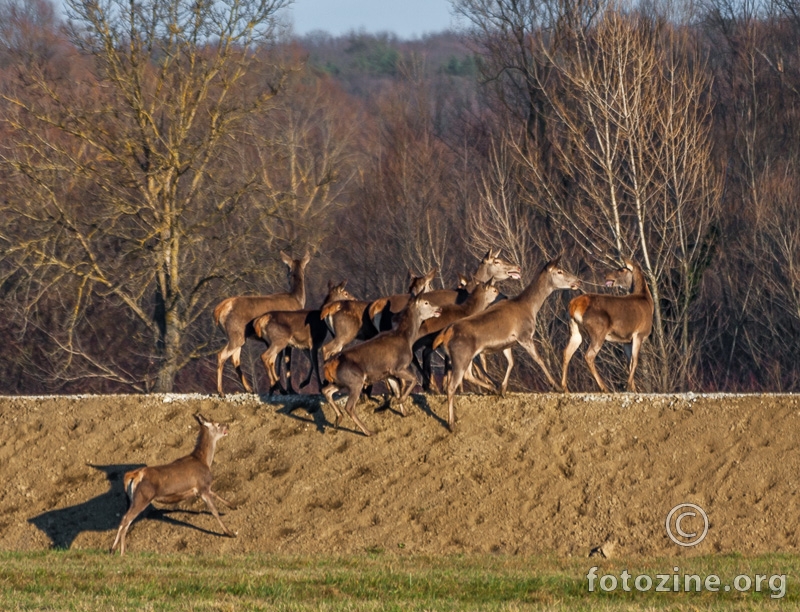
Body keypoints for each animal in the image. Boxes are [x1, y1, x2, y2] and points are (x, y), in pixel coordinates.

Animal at [109, 414, 234, 556]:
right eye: (217, 424)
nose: (228, 425)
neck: (204, 461)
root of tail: (134, 475)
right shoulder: (203, 486)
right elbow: (214, 511)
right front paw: (229, 532)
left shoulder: (202, 488)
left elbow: (216, 494)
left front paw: (233, 505)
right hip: (142, 497)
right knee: (125, 520)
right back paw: (121, 552)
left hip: (133, 500)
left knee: (125, 520)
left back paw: (113, 549)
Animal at [212, 252, 310, 400]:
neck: (297, 299)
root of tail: (219, 310)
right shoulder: (288, 338)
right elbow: (286, 362)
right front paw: (290, 390)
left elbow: (276, 361)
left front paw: (279, 388)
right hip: (236, 333)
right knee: (221, 355)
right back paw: (221, 391)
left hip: (237, 335)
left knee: (235, 359)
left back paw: (249, 389)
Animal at [320, 296, 444, 436]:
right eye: (426, 302)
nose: (440, 308)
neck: (406, 338)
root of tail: (328, 366)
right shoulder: (397, 367)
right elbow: (413, 379)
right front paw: (400, 400)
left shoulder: (388, 373)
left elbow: (397, 389)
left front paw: (404, 412)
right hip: (355, 381)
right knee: (349, 406)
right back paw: (368, 431)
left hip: (341, 382)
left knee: (327, 391)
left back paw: (338, 418)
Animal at [432, 258, 580, 430]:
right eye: (559, 271)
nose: (577, 281)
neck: (530, 308)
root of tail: (445, 334)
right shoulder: (524, 334)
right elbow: (539, 359)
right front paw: (556, 386)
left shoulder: (509, 343)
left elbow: (511, 362)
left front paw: (503, 388)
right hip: (461, 354)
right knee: (452, 386)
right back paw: (451, 424)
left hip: (463, 356)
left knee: (467, 375)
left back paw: (493, 388)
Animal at [560, 258, 652, 392]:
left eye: (622, 269)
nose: (606, 275)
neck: (647, 301)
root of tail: (573, 306)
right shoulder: (638, 334)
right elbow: (635, 361)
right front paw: (629, 387)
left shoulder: (626, 340)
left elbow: (629, 363)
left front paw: (632, 388)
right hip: (598, 330)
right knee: (589, 356)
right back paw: (604, 388)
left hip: (575, 331)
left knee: (566, 352)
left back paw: (564, 387)